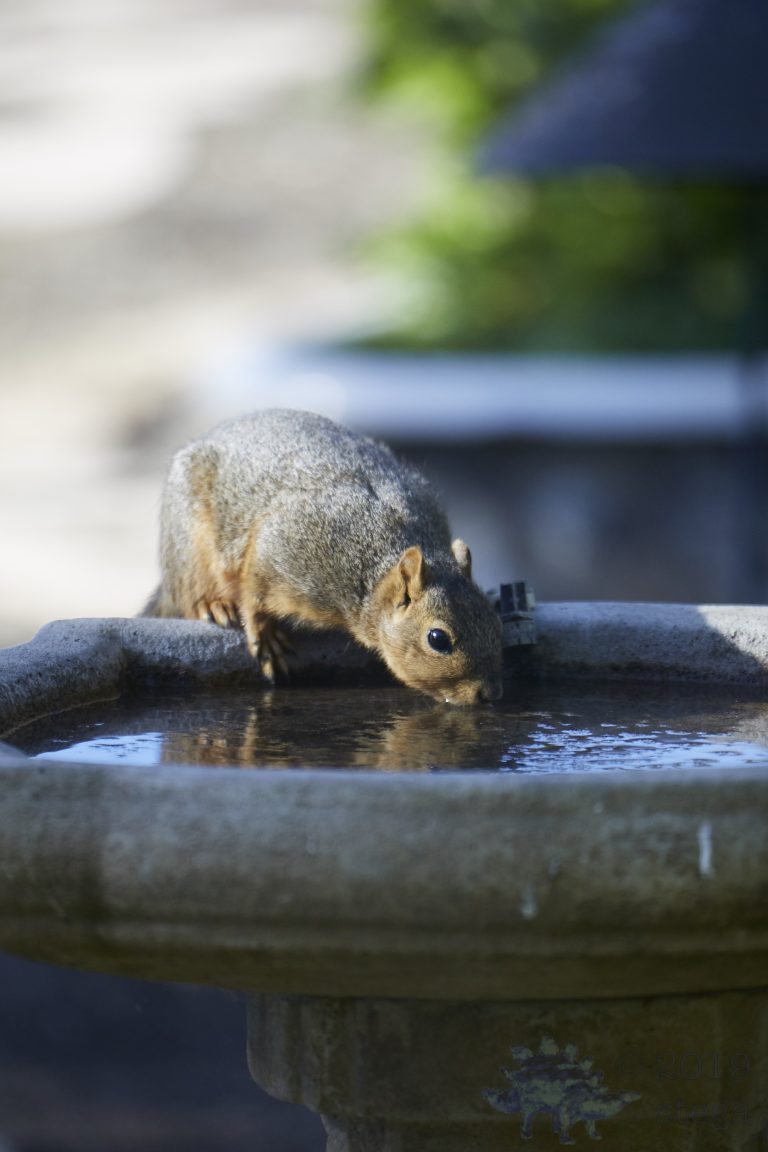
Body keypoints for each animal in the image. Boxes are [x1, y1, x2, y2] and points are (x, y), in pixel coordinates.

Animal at [143, 409, 503, 705]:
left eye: (495, 620)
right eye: (437, 639)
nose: (488, 693)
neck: (370, 567)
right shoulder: (283, 548)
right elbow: (254, 594)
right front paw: (264, 636)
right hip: (188, 545)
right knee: (189, 592)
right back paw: (212, 604)